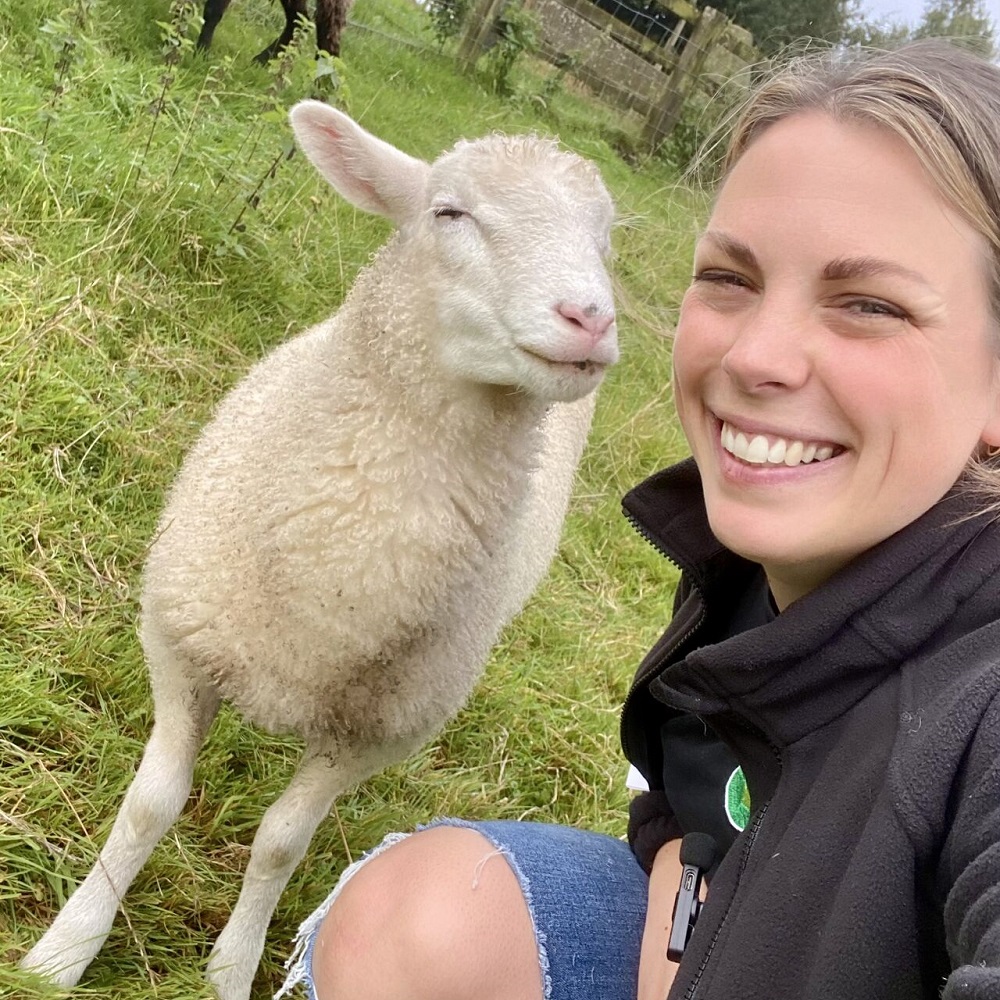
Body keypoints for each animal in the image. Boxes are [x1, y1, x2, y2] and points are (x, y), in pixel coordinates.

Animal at [20, 100, 618, 1000]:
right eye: (448, 211)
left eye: (605, 237)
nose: (591, 318)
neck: (332, 597)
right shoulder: (179, 641)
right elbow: (151, 803)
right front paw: (63, 952)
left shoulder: (373, 735)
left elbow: (280, 843)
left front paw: (229, 968)